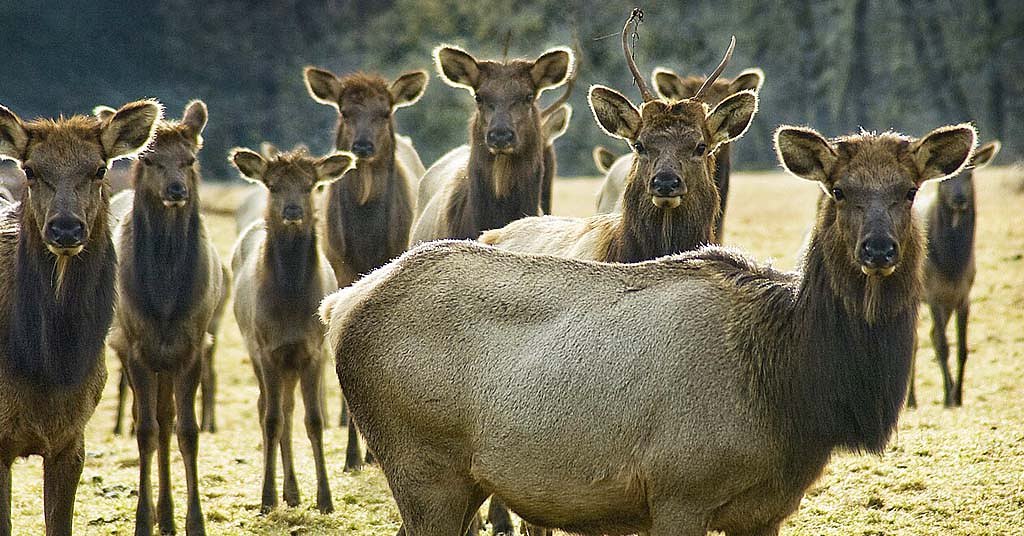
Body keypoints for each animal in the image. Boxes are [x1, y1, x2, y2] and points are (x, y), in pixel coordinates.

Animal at [107, 100, 228, 536]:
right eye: (149, 159)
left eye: (189, 159)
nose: (177, 190)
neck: (164, 298)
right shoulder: (135, 347)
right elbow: (144, 431)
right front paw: (142, 520)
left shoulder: (192, 345)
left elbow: (187, 431)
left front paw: (195, 522)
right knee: (151, 421)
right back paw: (161, 514)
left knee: (167, 419)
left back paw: (169, 515)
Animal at [229, 145, 355, 514]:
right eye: (272, 186)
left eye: (311, 185)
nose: (293, 210)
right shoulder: (267, 350)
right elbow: (272, 420)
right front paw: (266, 499)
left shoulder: (312, 350)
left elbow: (314, 421)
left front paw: (325, 499)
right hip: (255, 350)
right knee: (269, 410)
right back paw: (285, 492)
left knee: (287, 409)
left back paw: (295, 492)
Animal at [319, 111, 977, 535]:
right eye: (838, 190)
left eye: (910, 189)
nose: (878, 249)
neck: (791, 388)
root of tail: (343, 304)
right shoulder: (679, 488)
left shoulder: (766, 510)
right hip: (421, 463)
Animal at [908, 140, 1000, 408]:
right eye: (947, 178)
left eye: (970, 174)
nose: (959, 198)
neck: (952, 265)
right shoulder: (933, 295)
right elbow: (942, 346)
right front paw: (949, 396)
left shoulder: (963, 296)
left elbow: (962, 348)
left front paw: (957, 395)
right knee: (916, 342)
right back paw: (911, 400)